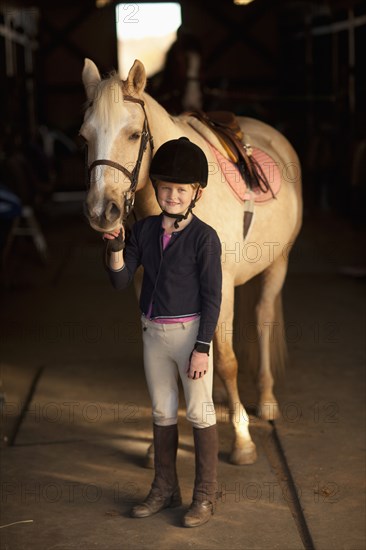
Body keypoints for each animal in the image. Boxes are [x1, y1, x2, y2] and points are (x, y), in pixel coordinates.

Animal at [81, 59, 302, 466]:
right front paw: (156, 447)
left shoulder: (222, 286)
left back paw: (265, 399)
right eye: (84, 137)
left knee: (263, 318)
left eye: (134, 135)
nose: (103, 212)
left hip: (278, 264)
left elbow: (228, 361)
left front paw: (242, 440)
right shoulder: (147, 290)